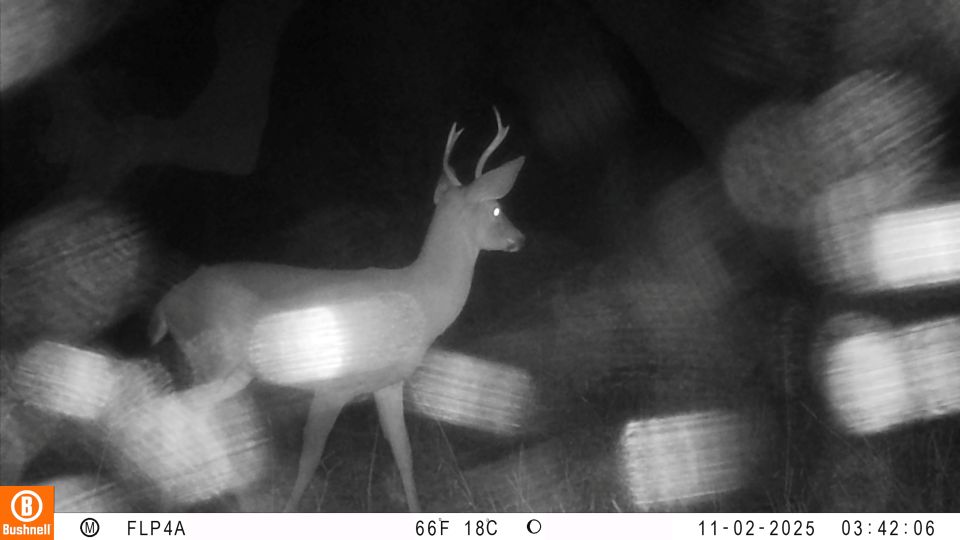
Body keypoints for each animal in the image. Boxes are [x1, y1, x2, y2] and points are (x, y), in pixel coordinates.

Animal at [147, 107, 526, 512]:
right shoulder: (331, 385)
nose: (519, 238)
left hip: (230, 371)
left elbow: (404, 453)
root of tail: (168, 302)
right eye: (497, 208)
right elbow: (310, 459)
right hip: (213, 357)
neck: (419, 300)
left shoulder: (388, 383)